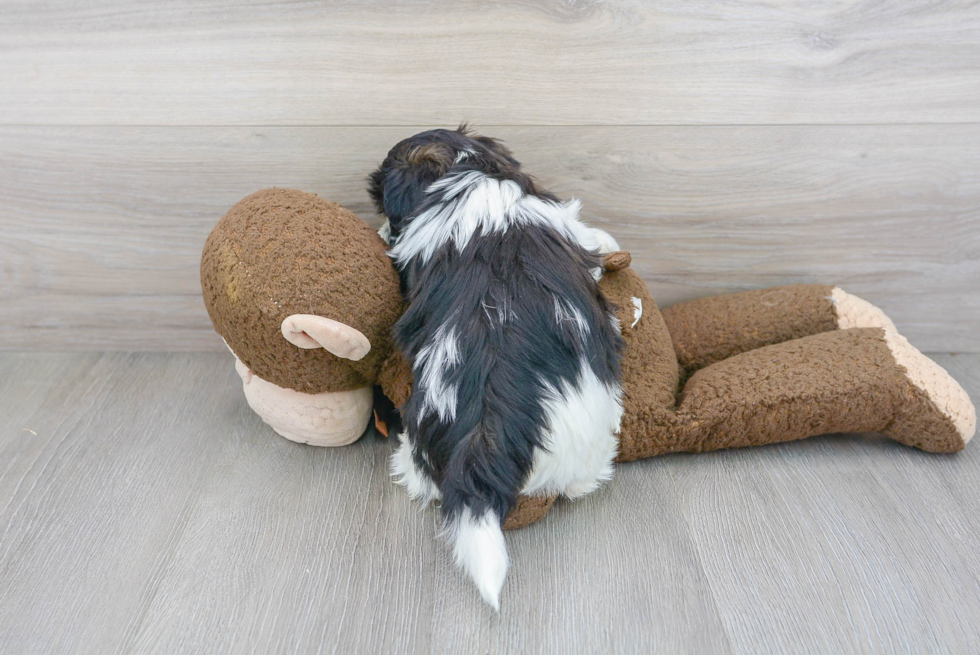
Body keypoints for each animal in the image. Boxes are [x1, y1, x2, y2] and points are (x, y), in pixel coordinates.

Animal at [368, 128, 628, 608]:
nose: (381, 231)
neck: (466, 177)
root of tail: (483, 446)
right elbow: (593, 240)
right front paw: (609, 244)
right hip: (587, 436)